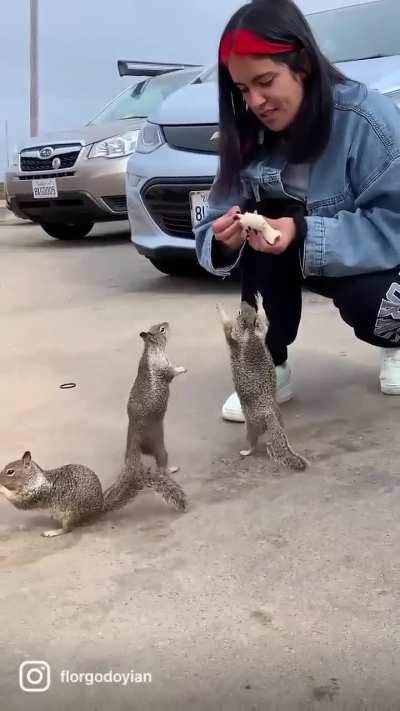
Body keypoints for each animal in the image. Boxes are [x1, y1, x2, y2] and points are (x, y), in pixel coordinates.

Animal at [0, 450, 187, 538]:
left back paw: (53, 532)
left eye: (10, 471)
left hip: (70, 513)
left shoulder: (37, 493)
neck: (35, 478)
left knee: (68, 529)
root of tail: (98, 510)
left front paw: (2, 489)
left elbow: (21, 503)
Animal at [125, 321, 187, 473]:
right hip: (158, 445)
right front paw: (181, 368)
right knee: (161, 465)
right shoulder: (165, 367)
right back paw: (171, 469)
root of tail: (135, 435)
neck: (152, 349)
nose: (167, 322)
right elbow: (173, 372)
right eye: (162, 329)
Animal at [217, 293, 308, 471]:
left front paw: (221, 309)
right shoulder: (261, 331)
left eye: (239, 312)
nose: (244, 301)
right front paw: (260, 302)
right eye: (249, 308)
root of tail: (269, 413)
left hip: (252, 425)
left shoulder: (235, 337)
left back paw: (246, 451)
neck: (251, 333)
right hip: (278, 416)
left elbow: (227, 328)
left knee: (252, 441)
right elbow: (266, 322)